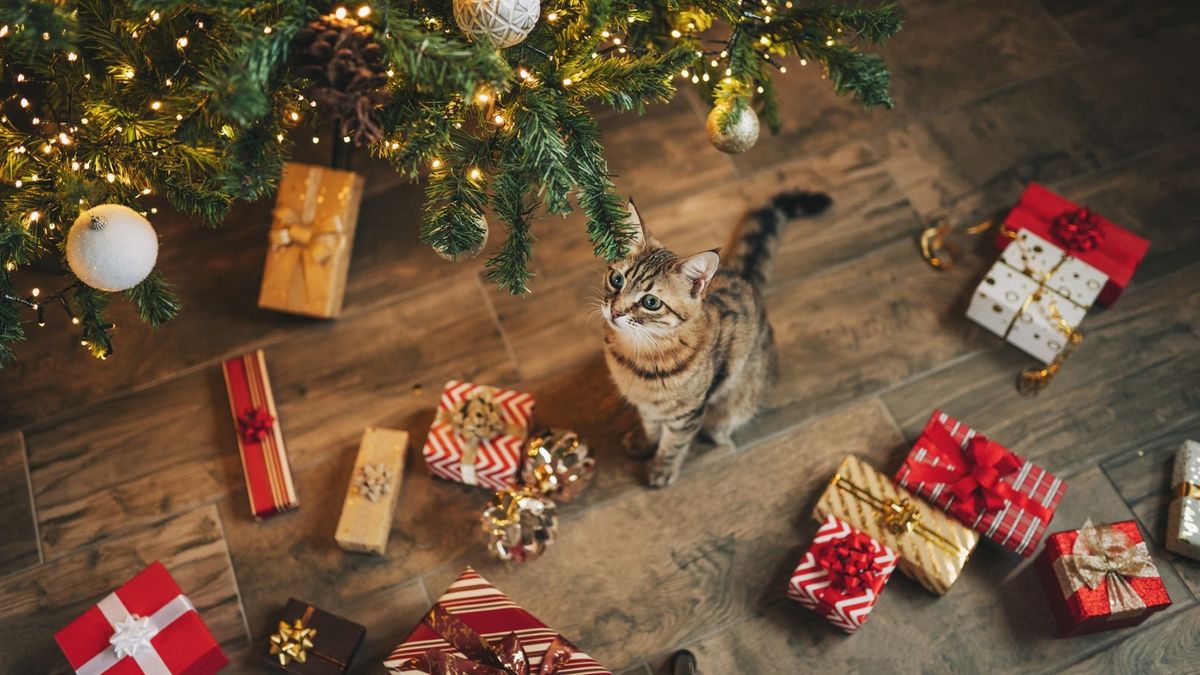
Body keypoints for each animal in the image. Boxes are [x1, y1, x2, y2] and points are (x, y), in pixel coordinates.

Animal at [604, 192, 830, 485]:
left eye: (651, 302)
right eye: (616, 279)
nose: (614, 311)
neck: (638, 353)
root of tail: (743, 276)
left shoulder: (687, 413)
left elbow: (672, 444)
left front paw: (661, 469)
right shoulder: (648, 407)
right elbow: (651, 426)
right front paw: (644, 443)